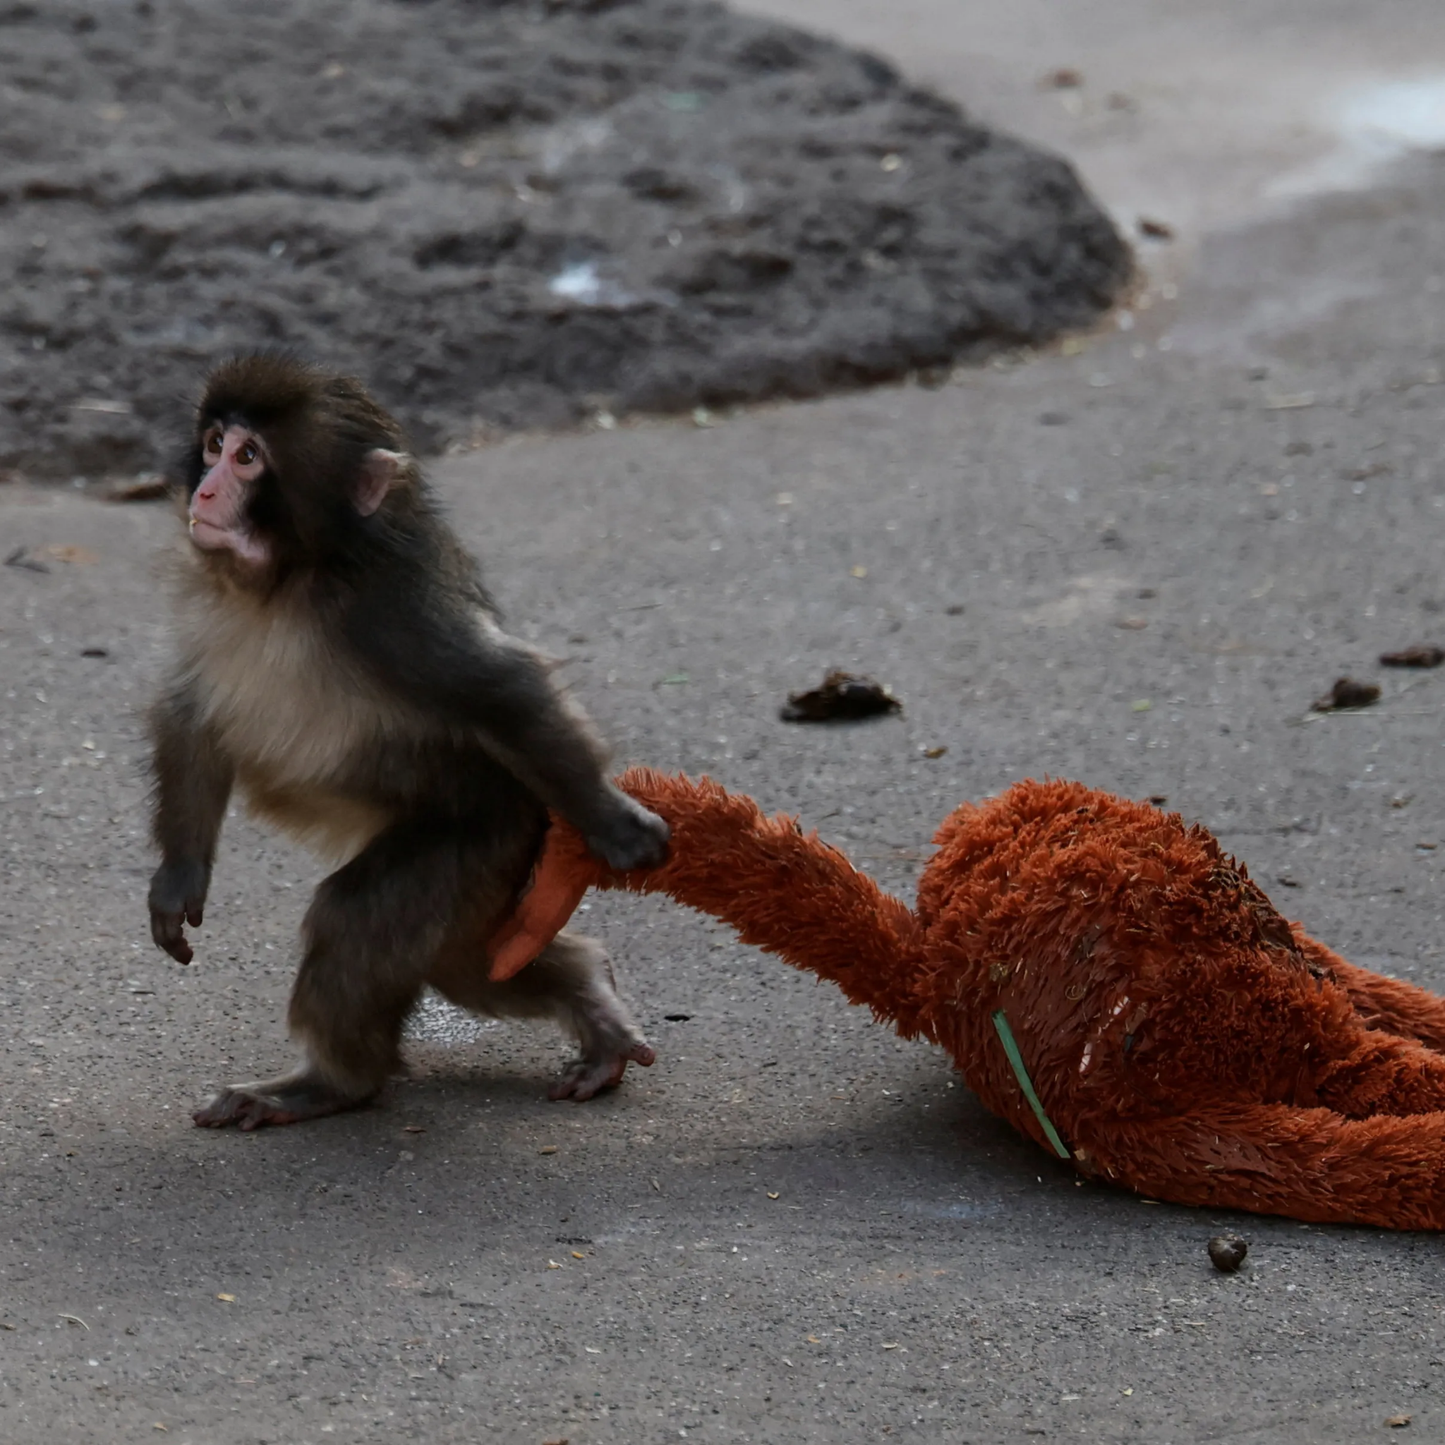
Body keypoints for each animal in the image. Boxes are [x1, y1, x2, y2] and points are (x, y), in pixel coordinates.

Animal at [147, 353, 670, 1130]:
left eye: (248, 458)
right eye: (213, 444)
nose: (206, 489)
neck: (290, 580)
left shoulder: (394, 614)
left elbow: (503, 687)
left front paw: (615, 822)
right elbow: (190, 714)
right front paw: (179, 877)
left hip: (484, 835)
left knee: (361, 918)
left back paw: (333, 1083)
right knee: (470, 963)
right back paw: (591, 993)